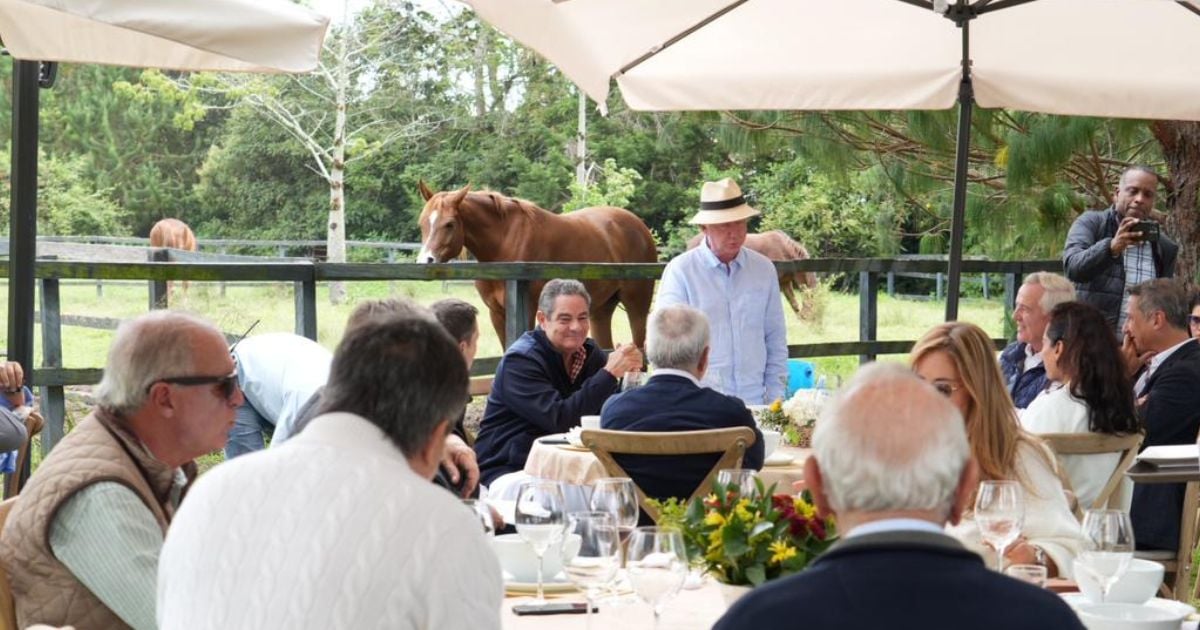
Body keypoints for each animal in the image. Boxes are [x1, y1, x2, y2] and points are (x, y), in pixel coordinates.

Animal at [415, 181, 657, 348]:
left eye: (449, 224)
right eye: (422, 223)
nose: (425, 261)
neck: (505, 242)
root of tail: (640, 227)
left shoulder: (529, 309)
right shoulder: (497, 313)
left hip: (637, 307)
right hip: (601, 311)